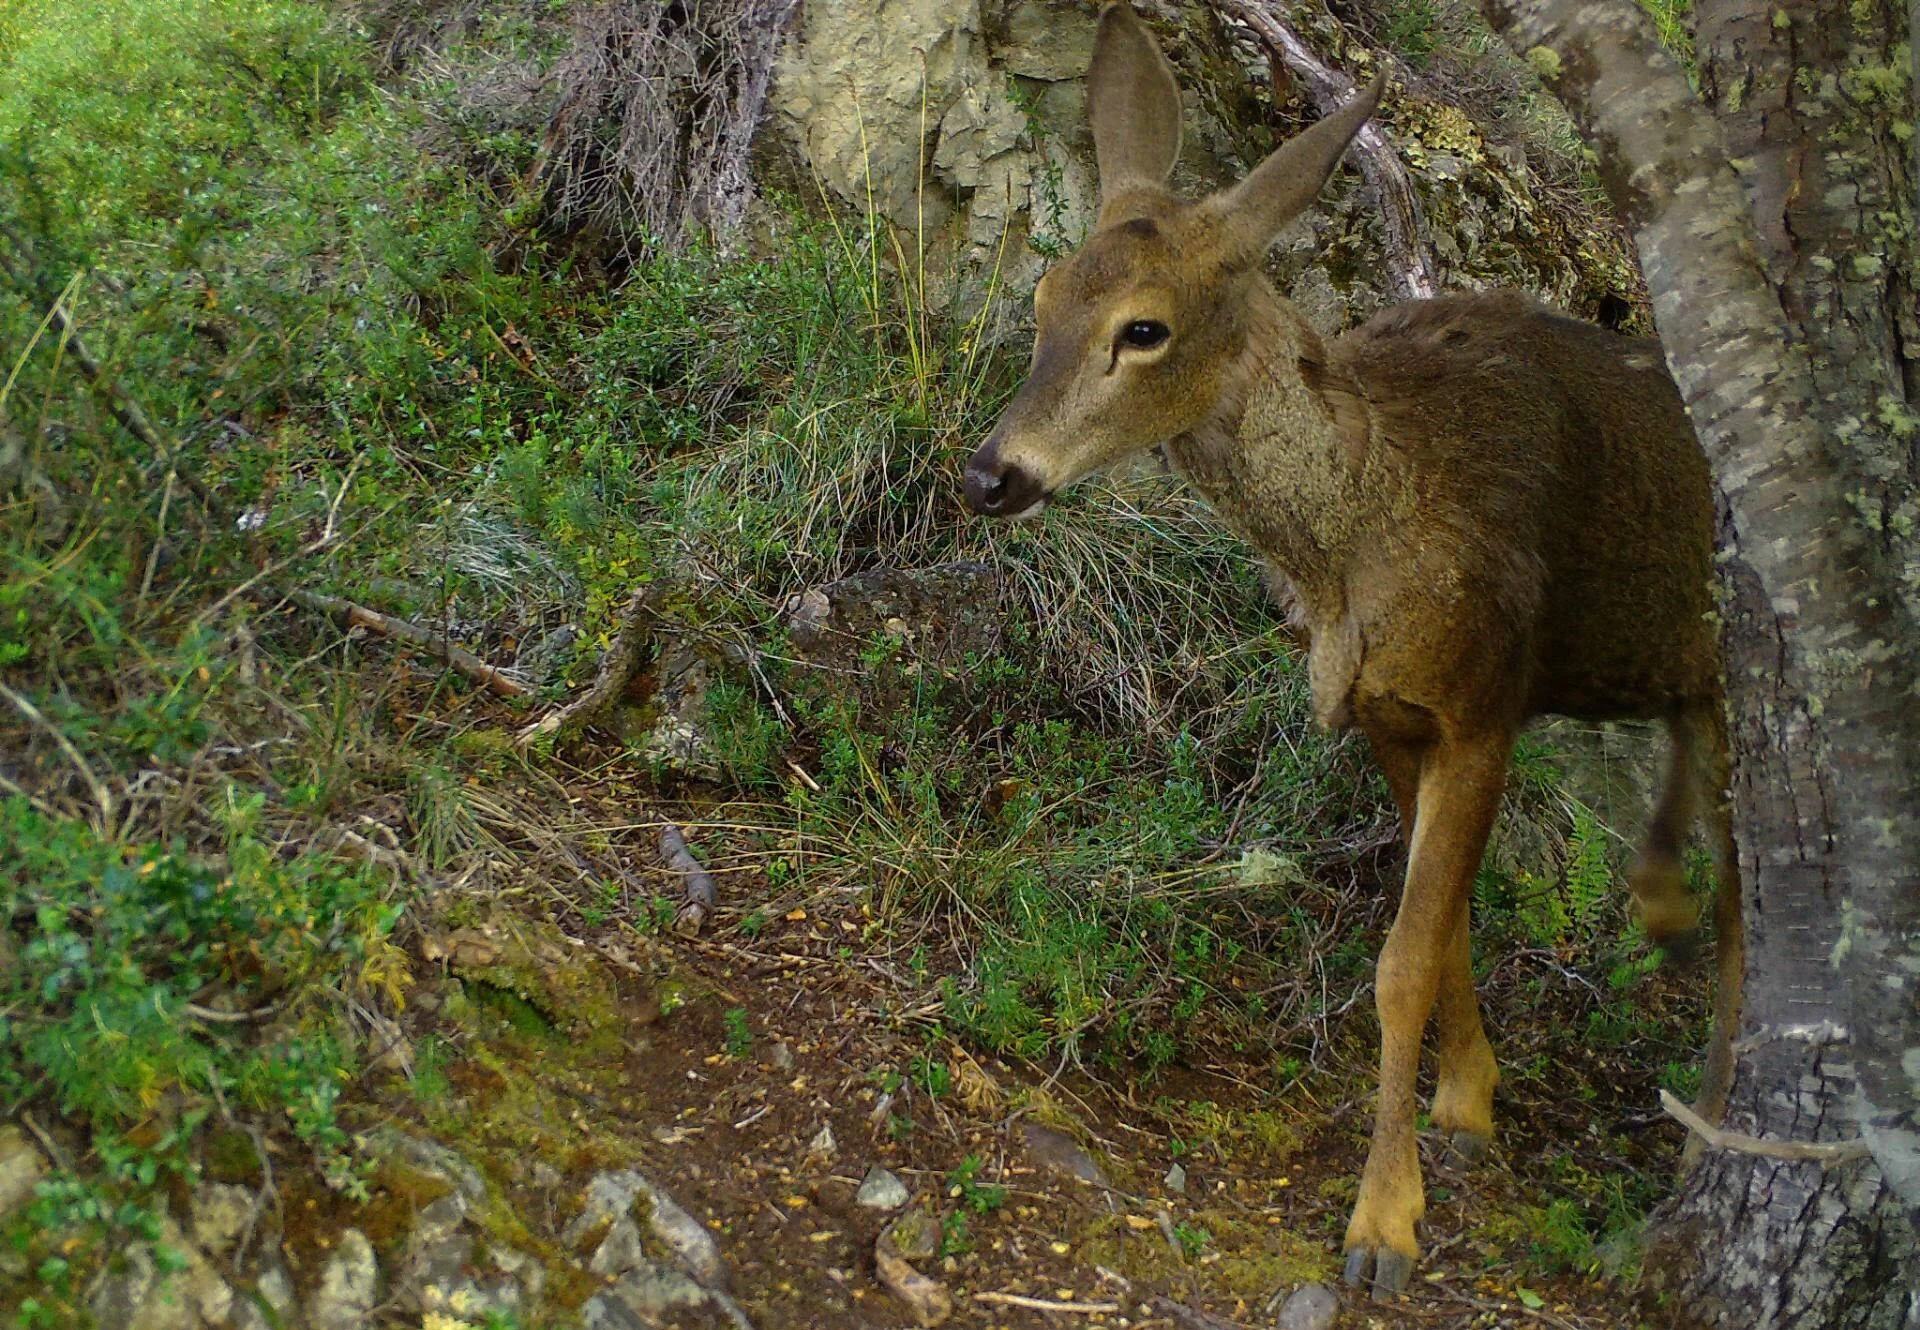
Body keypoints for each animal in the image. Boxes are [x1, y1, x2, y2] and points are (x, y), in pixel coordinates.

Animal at [961, 3, 1743, 1301]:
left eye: (1143, 328)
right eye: (1042, 302)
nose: (991, 474)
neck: (1358, 537)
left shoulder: (1486, 697)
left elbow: (1402, 959)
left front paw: (1384, 1224)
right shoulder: (1387, 715)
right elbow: (1452, 929)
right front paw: (1470, 1107)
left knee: (1756, 915)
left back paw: (1712, 1141)